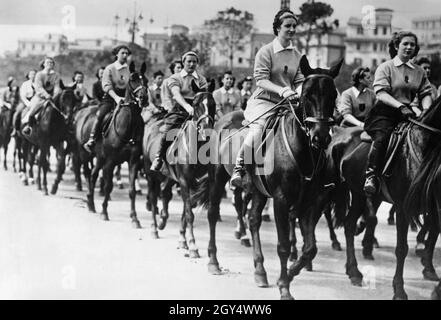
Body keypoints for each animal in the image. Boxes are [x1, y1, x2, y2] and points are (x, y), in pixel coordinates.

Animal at [73, 61, 147, 226]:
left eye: (145, 80)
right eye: (132, 79)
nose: (144, 98)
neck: (127, 125)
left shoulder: (133, 161)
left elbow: (132, 190)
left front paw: (135, 218)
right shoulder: (111, 161)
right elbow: (108, 187)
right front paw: (104, 213)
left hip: (100, 158)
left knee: (93, 175)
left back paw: (91, 204)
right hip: (86, 154)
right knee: (89, 174)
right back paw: (91, 202)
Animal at [143, 80, 215, 258]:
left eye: (212, 104)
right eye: (195, 104)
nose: (206, 130)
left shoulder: (194, 183)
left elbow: (186, 212)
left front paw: (184, 240)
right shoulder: (184, 181)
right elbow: (189, 214)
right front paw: (193, 246)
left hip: (170, 177)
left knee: (165, 193)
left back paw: (163, 220)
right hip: (150, 174)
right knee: (153, 198)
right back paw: (154, 228)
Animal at [192, 55, 340, 300]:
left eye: (333, 95)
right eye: (306, 94)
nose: (320, 136)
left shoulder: (311, 202)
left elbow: (310, 248)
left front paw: (291, 272)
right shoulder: (281, 200)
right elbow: (283, 245)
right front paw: (284, 286)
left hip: (258, 190)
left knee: (253, 220)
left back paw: (260, 270)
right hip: (217, 177)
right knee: (213, 214)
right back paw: (213, 261)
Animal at [326, 95, 441, 300]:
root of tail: (340, 133)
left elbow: (433, 233)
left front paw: (429, 271)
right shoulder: (403, 208)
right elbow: (402, 249)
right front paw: (399, 290)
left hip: (358, 194)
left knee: (349, 224)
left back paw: (353, 270)